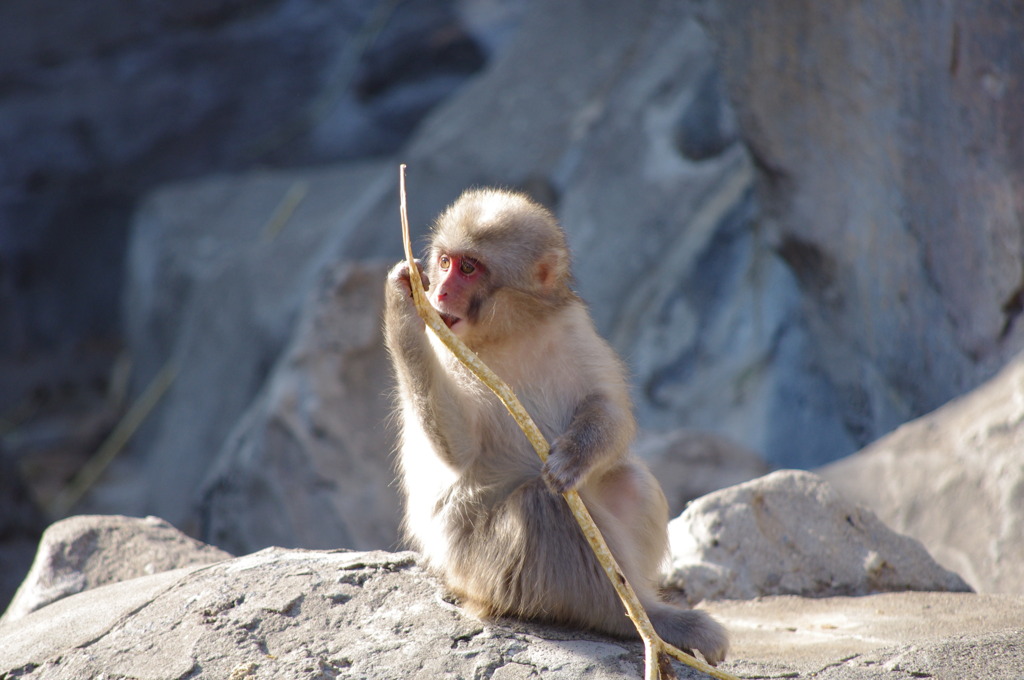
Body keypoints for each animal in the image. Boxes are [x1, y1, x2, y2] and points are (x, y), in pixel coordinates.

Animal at [385, 186, 729, 663]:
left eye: (469, 268)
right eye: (445, 262)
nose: (440, 289)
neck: (508, 332)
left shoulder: (572, 327)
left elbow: (608, 407)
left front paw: (573, 457)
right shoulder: (447, 348)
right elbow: (457, 447)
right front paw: (402, 301)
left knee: (629, 479)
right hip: (482, 570)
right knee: (544, 504)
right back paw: (636, 621)